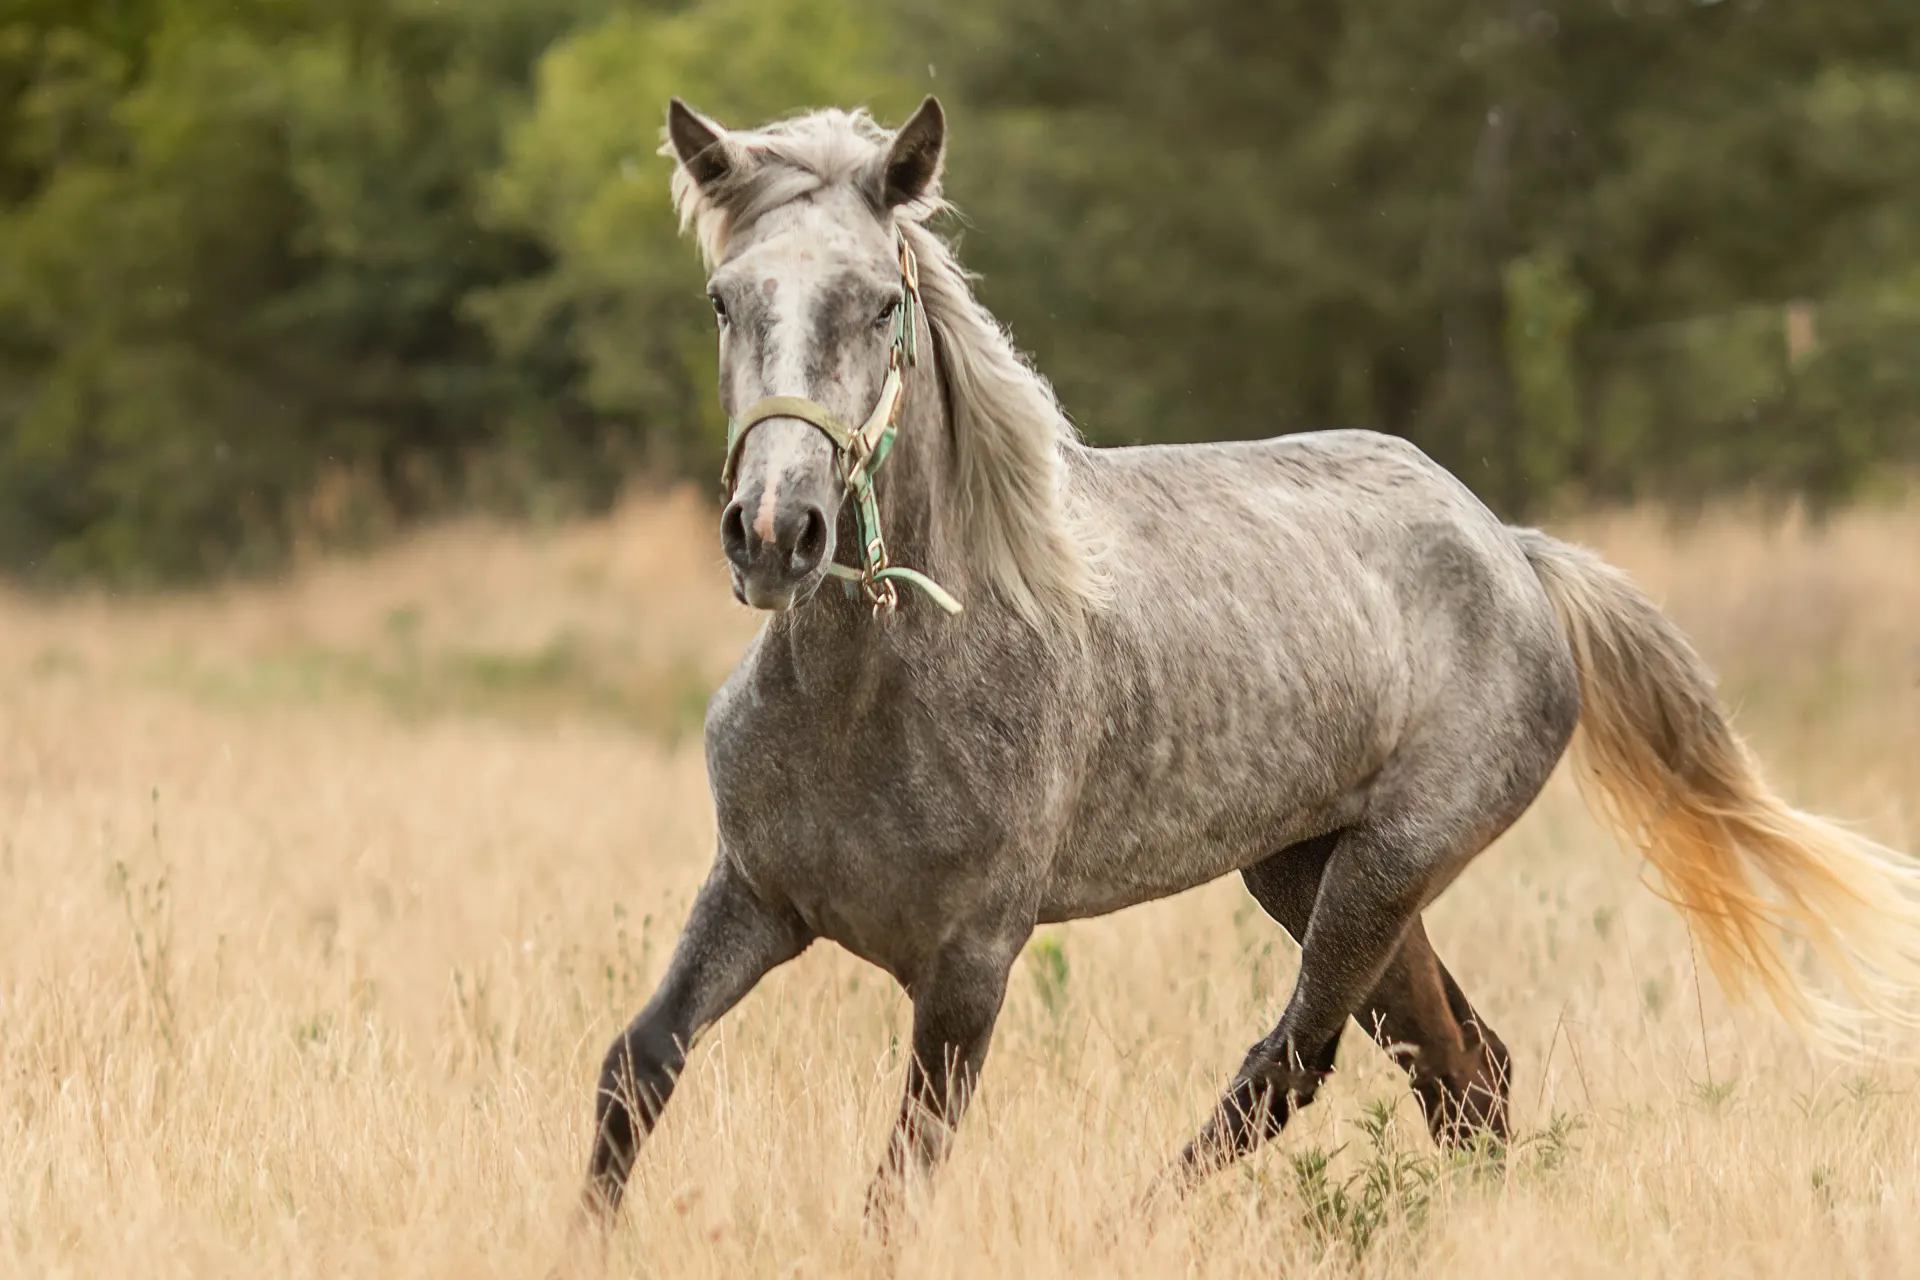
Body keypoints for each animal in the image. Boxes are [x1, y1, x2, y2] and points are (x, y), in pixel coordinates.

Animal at [583, 95, 1920, 1228]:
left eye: (876, 306)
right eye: (724, 300)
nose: (776, 533)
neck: (876, 694)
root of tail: (1515, 549)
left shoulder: (969, 968)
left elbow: (899, 1186)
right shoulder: (754, 894)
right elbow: (635, 1066)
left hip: (1385, 869)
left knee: (1296, 1065)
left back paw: (1130, 1226)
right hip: (1308, 872)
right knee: (1465, 1070)